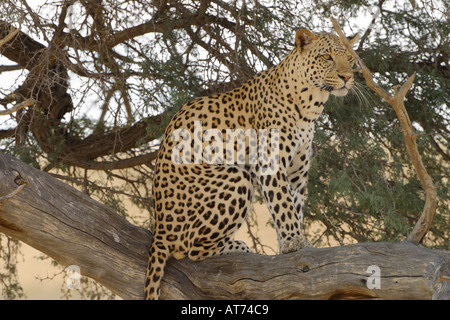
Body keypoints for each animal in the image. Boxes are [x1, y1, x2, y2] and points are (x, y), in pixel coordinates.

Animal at [144, 28, 358, 298]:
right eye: (327, 57)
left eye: (350, 59)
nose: (347, 76)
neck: (311, 105)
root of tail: (159, 229)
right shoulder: (271, 163)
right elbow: (283, 206)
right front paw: (295, 243)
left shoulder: (297, 173)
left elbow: (294, 206)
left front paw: (290, 244)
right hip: (235, 177)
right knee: (190, 250)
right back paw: (237, 246)